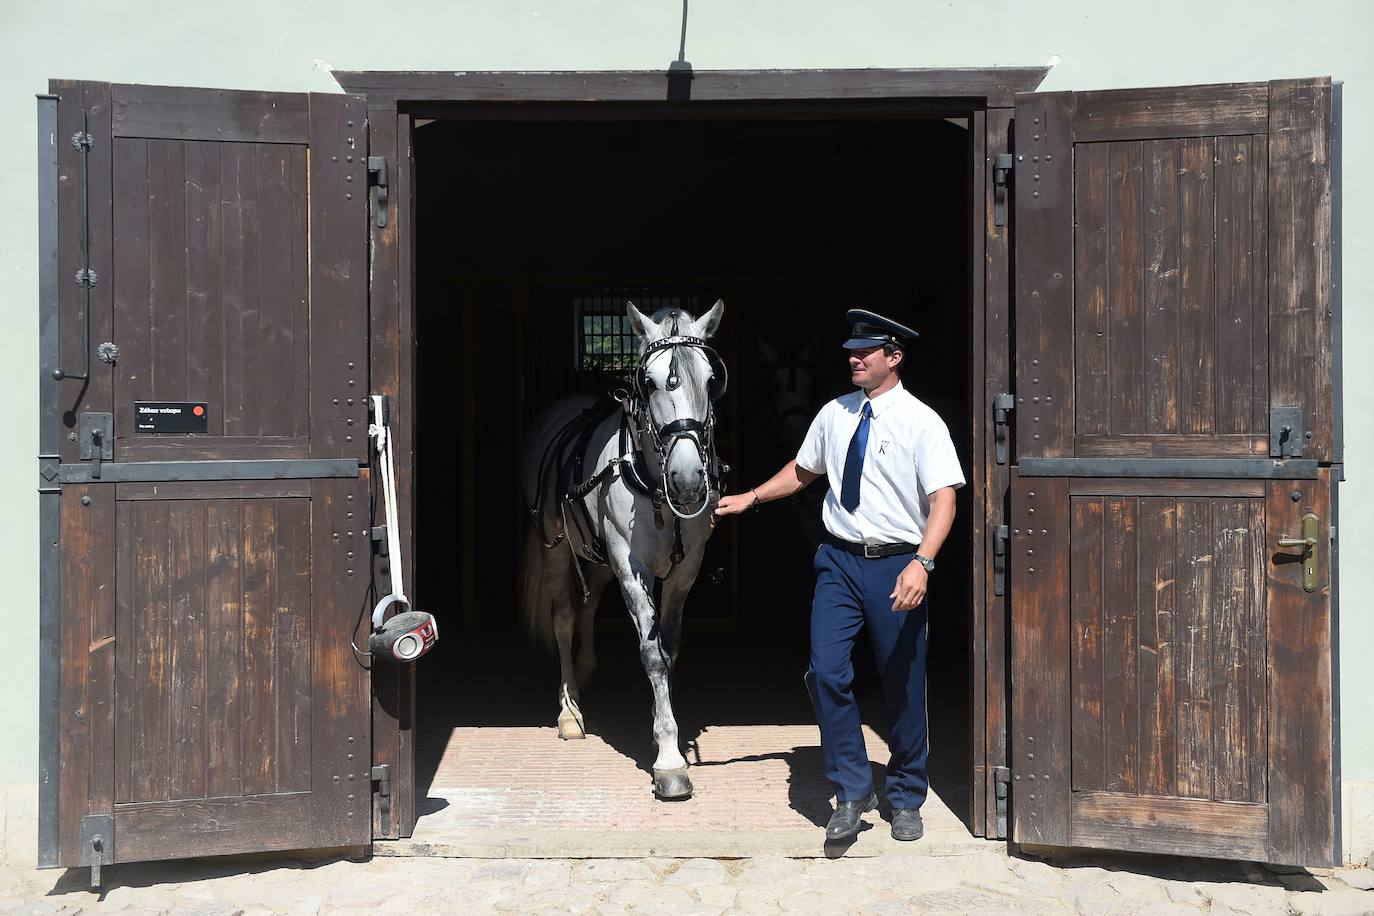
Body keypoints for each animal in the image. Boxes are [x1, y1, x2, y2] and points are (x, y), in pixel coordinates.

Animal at [516, 302, 730, 802]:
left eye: (712, 379)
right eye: (648, 381)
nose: (688, 480)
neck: (656, 489)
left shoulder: (685, 571)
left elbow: (669, 645)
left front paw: (659, 729)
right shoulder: (632, 569)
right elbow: (651, 652)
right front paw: (669, 761)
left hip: (597, 558)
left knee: (590, 605)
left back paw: (586, 668)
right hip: (556, 548)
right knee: (564, 619)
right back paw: (569, 709)